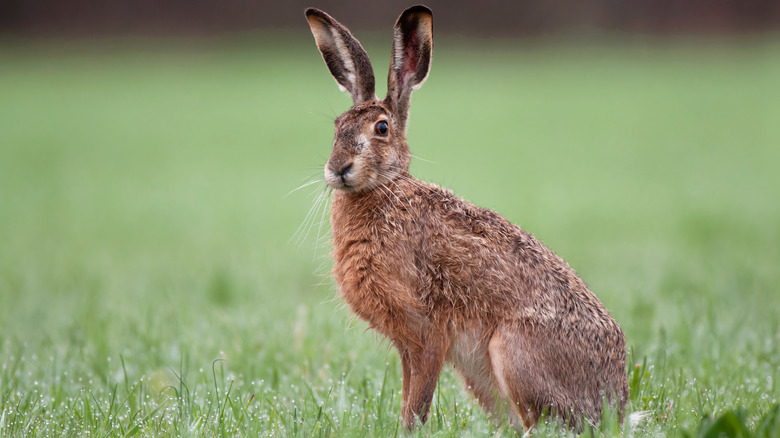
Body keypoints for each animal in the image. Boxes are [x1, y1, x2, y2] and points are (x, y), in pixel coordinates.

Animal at [304, 5, 629, 433]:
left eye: (381, 128)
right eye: (337, 127)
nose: (338, 169)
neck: (386, 191)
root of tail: (616, 408)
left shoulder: (426, 332)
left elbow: (417, 403)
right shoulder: (409, 344)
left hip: (512, 353)